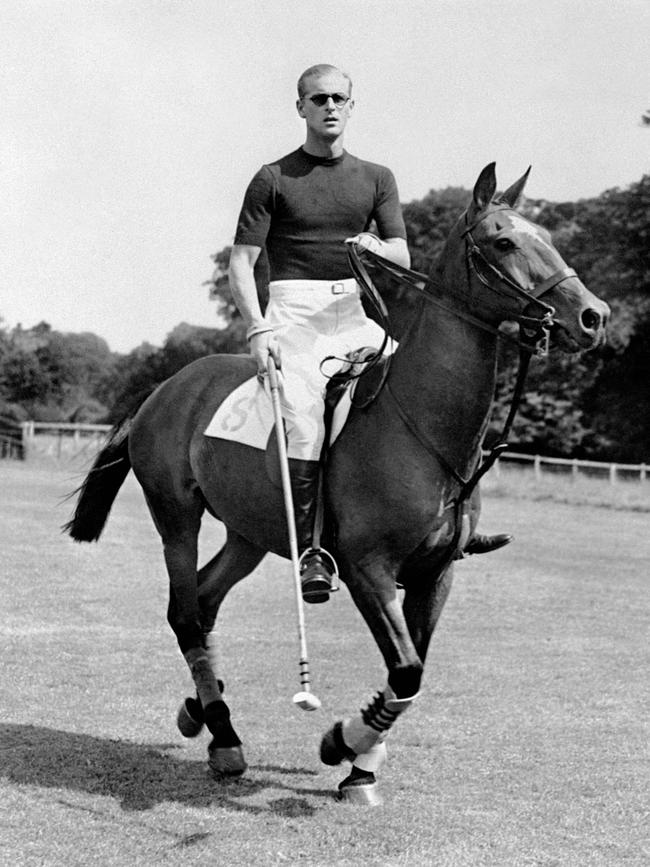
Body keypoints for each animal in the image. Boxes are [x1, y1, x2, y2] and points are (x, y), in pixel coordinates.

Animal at [66, 164, 608, 808]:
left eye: (546, 233)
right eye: (503, 241)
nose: (594, 317)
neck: (422, 426)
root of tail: (165, 387)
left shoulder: (436, 574)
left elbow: (411, 671)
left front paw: (361, 768)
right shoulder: (367, 567)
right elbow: (406, 670)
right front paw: (338, 743)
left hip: (252, 532)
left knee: (204, 599)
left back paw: (200, 711)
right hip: (175, 515)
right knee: (185, 613)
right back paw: (224, 737)